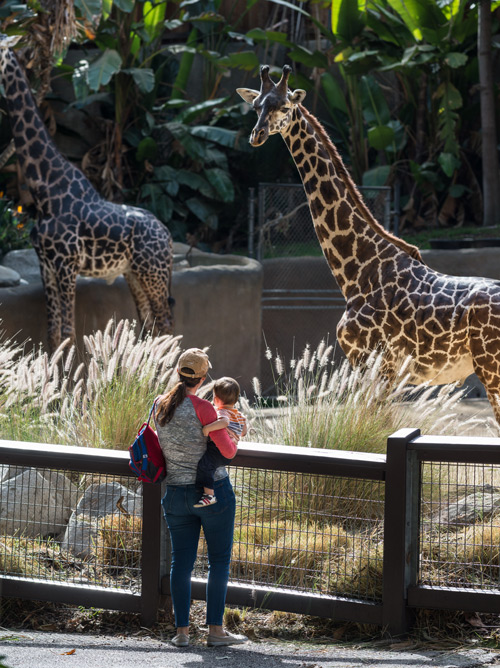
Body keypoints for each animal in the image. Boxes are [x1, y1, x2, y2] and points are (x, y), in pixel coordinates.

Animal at [0, 36, 174, 352]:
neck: (45, 188)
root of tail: (167, 235)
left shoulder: (66, 264)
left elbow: (68, 331)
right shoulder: (46, 264)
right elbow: (53, 332)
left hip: (152, 272)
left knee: (165, 321)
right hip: (134, 272)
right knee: (148, 322)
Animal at [238, 65, 500, 424]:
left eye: (284, 106)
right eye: (256, 106)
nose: (257, 135)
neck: (358, 270)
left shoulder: (372, 362)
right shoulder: (381, 370)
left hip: (490, 367)